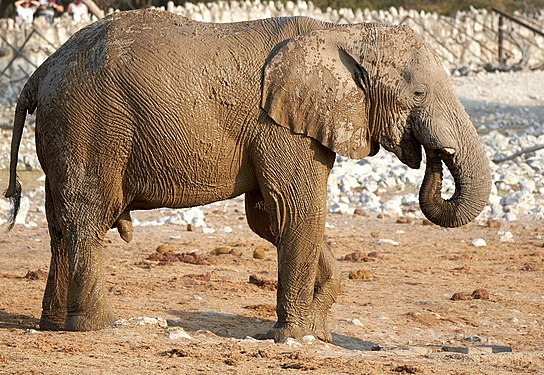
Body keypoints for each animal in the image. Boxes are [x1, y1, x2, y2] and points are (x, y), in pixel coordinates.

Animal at [4, 9, 490, 344]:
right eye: (419, 94)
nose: (435, 157)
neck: (341, 32)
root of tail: (39, 71)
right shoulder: (281, 125)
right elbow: (297, 210)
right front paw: (295, 337)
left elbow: (269, 219)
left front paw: (319, 330)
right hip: (89, 123)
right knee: (87, 216)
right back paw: (99, 326)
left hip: (65, 127)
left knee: (58, 223)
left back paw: (52, 325)